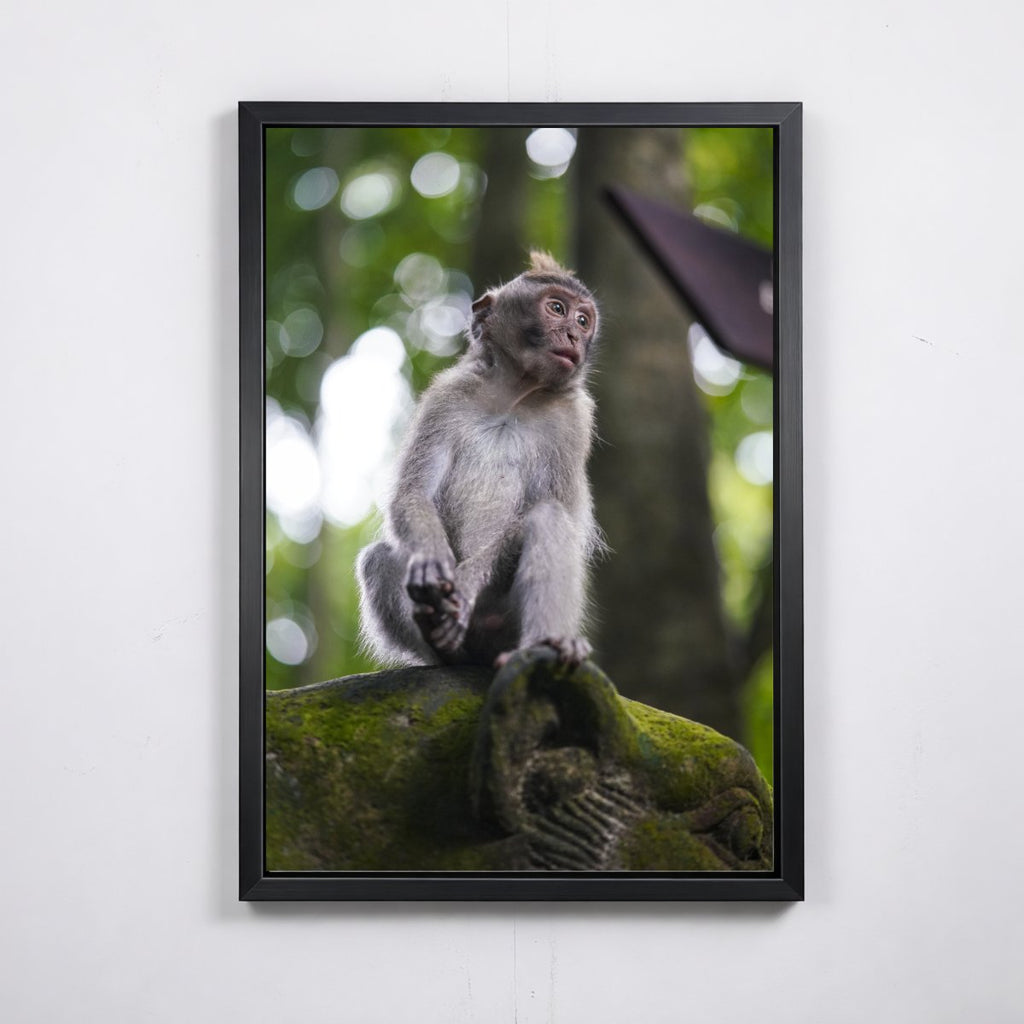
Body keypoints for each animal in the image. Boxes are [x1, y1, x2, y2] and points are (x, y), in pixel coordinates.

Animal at [356, 251, 602, 670]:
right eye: (557, 309)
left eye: (583, 321)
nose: (574, 336)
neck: (514, 397)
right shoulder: (447, 397)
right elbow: (412, 493)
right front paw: (431, 561)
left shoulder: (572, 422)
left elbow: (554, 508)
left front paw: (467, 582)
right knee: (377, 558)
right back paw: (443, 645)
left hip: (505, 623)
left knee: (548, 519)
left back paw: (548, 644)